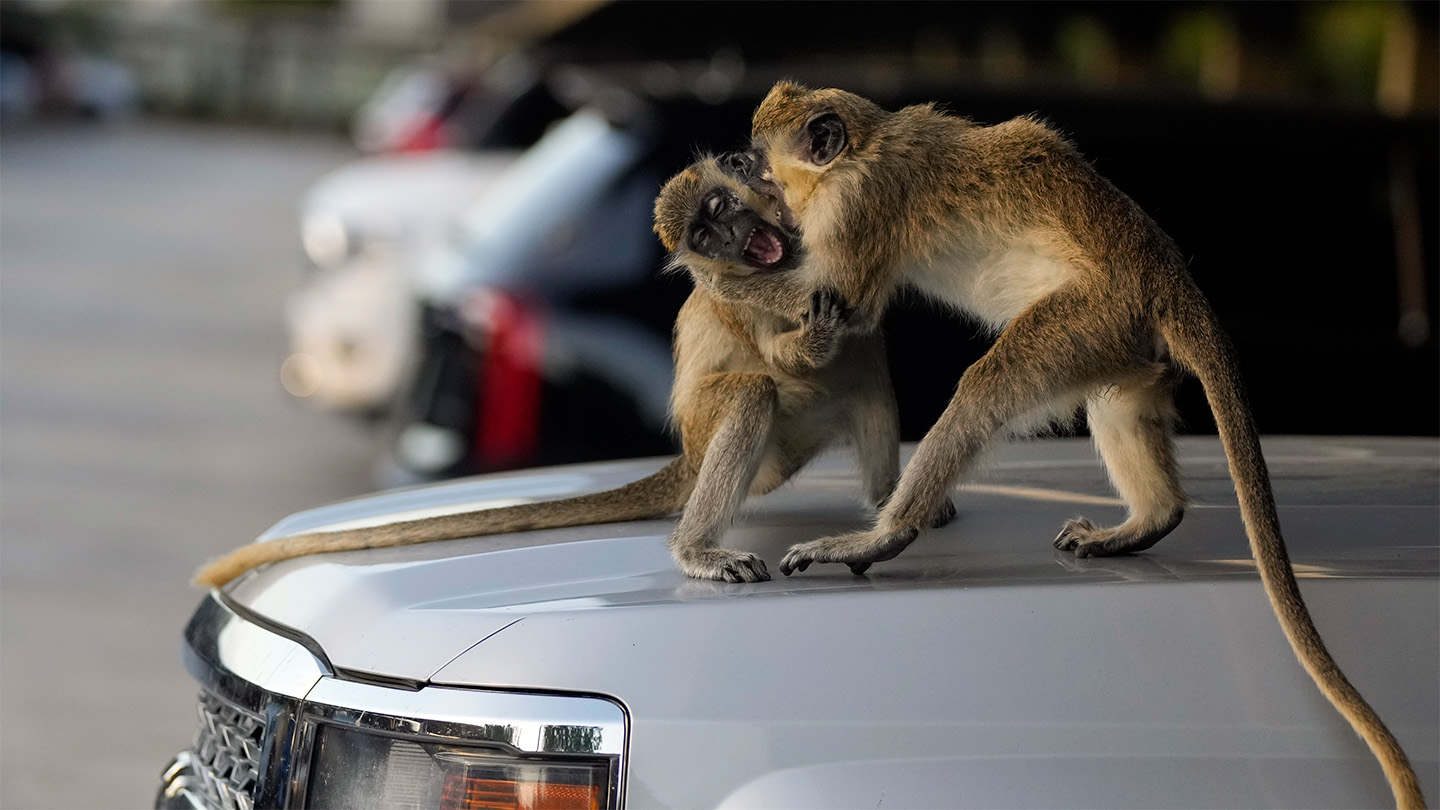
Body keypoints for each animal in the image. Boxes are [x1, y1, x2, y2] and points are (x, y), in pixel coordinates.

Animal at [192, 154, 904, 589]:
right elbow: (780, 352)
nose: (728, 240)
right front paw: (812, 333)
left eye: (723, 210)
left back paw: (884, 511)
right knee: (758, 389)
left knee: (866, 362)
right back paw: (700, 550)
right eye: (704, 236)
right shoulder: (734, 292)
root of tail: (692, 457)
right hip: (750, 441)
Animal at [721, 82, 1423, 809]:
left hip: (1090, 315)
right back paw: (1149, 521)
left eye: (759, 160)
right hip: (1120, 336)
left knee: (987, 388)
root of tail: (1167, 274)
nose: (733, 164)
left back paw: (885, 537)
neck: (862, 148)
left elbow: (839, 305)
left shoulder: (859, 210)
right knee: (1116, 406)